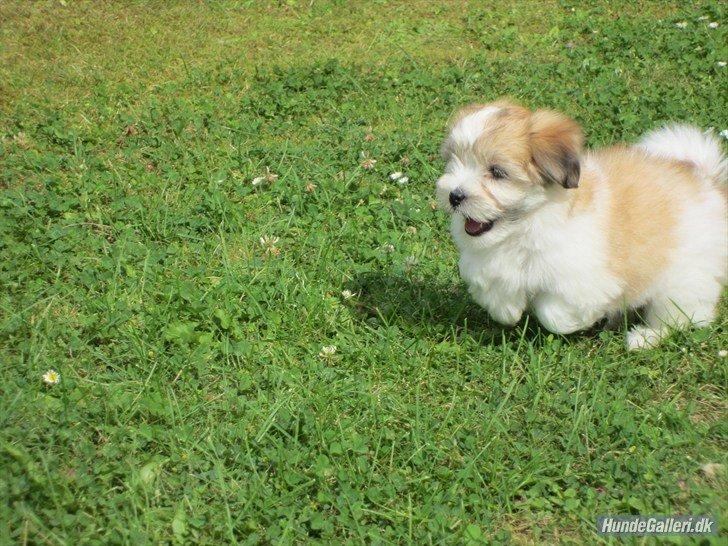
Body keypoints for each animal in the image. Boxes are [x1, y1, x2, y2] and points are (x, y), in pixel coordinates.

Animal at [436, 100, 724, 348]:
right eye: (454, 162)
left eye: (497, 172)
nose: (455, 195)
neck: (523, 226)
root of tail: (703, 179)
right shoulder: (486, 262)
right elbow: (494, 289)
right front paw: (508, 308)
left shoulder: (583, 279)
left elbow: (554, 312)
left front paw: (573, 319)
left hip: (682, 278)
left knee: (681, 315)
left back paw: (644, 337)